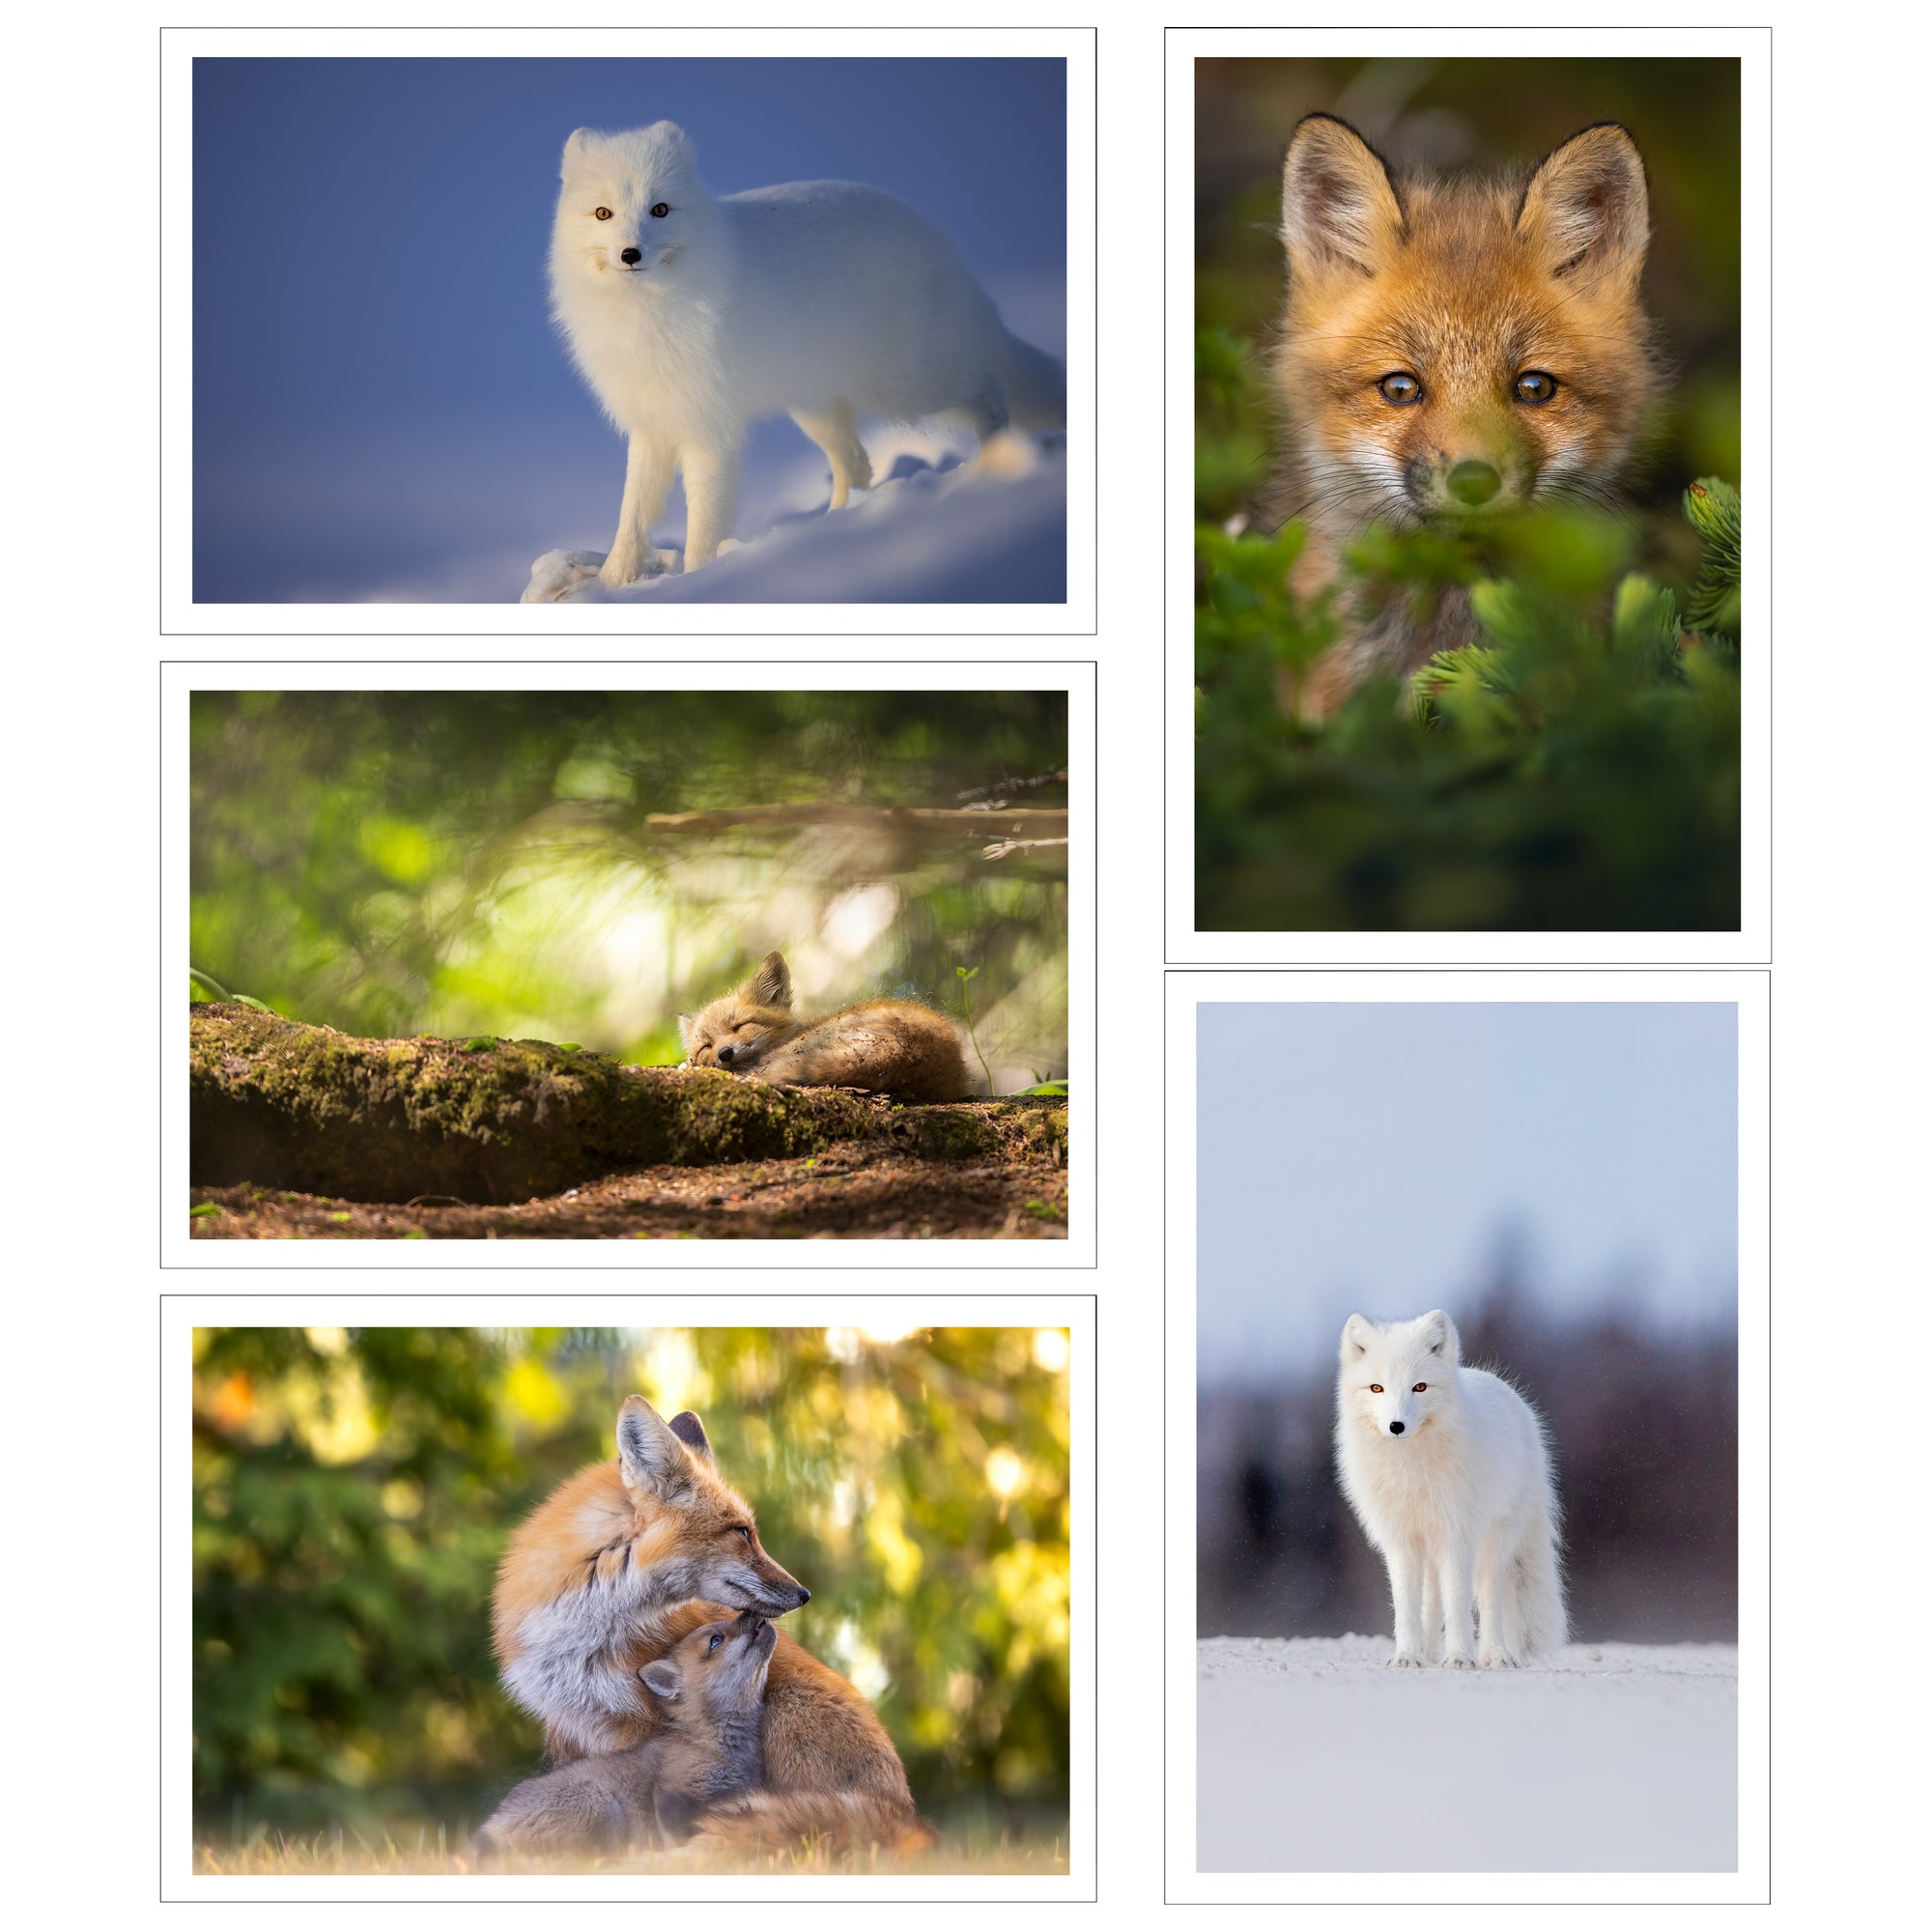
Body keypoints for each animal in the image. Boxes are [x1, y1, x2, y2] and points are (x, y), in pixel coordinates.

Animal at [474, 1609, 775, 1858]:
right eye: (715, 1641)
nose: (749, 1612)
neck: (712, 1743)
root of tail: (489, 1828)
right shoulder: (674, 1799)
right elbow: (688, 1835)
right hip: (602, 1806)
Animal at [548, 120, 1066, 587]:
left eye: (659, 209)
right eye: (602, 213)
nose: (630, 254)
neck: (647, 312)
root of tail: (942, 244)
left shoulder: (709, 428)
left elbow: (703, 525)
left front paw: (696, 583)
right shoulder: (651, 422)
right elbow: (632, 514)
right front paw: (611, 583)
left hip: (906, 385)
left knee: (989, 388)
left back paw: (997, 461)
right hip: (817, 407)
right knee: (857, 465)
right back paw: (834, 527)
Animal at [1334, 1310, 1567, 1669]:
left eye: (1419, 1387)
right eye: (1377, 1388)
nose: (1396, 1426)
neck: (1411, 1472)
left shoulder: (1457, 1535)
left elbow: (1458, 1603)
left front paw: (1458, 1657)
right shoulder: (1400, 1540)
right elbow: (1407, 1607)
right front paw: (1407, 1656)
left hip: (1493, 1542)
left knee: (1488, 1597)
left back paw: (1495, 1655)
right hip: (1431, 1548)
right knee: (1432, 1601)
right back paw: (1427, 1654)